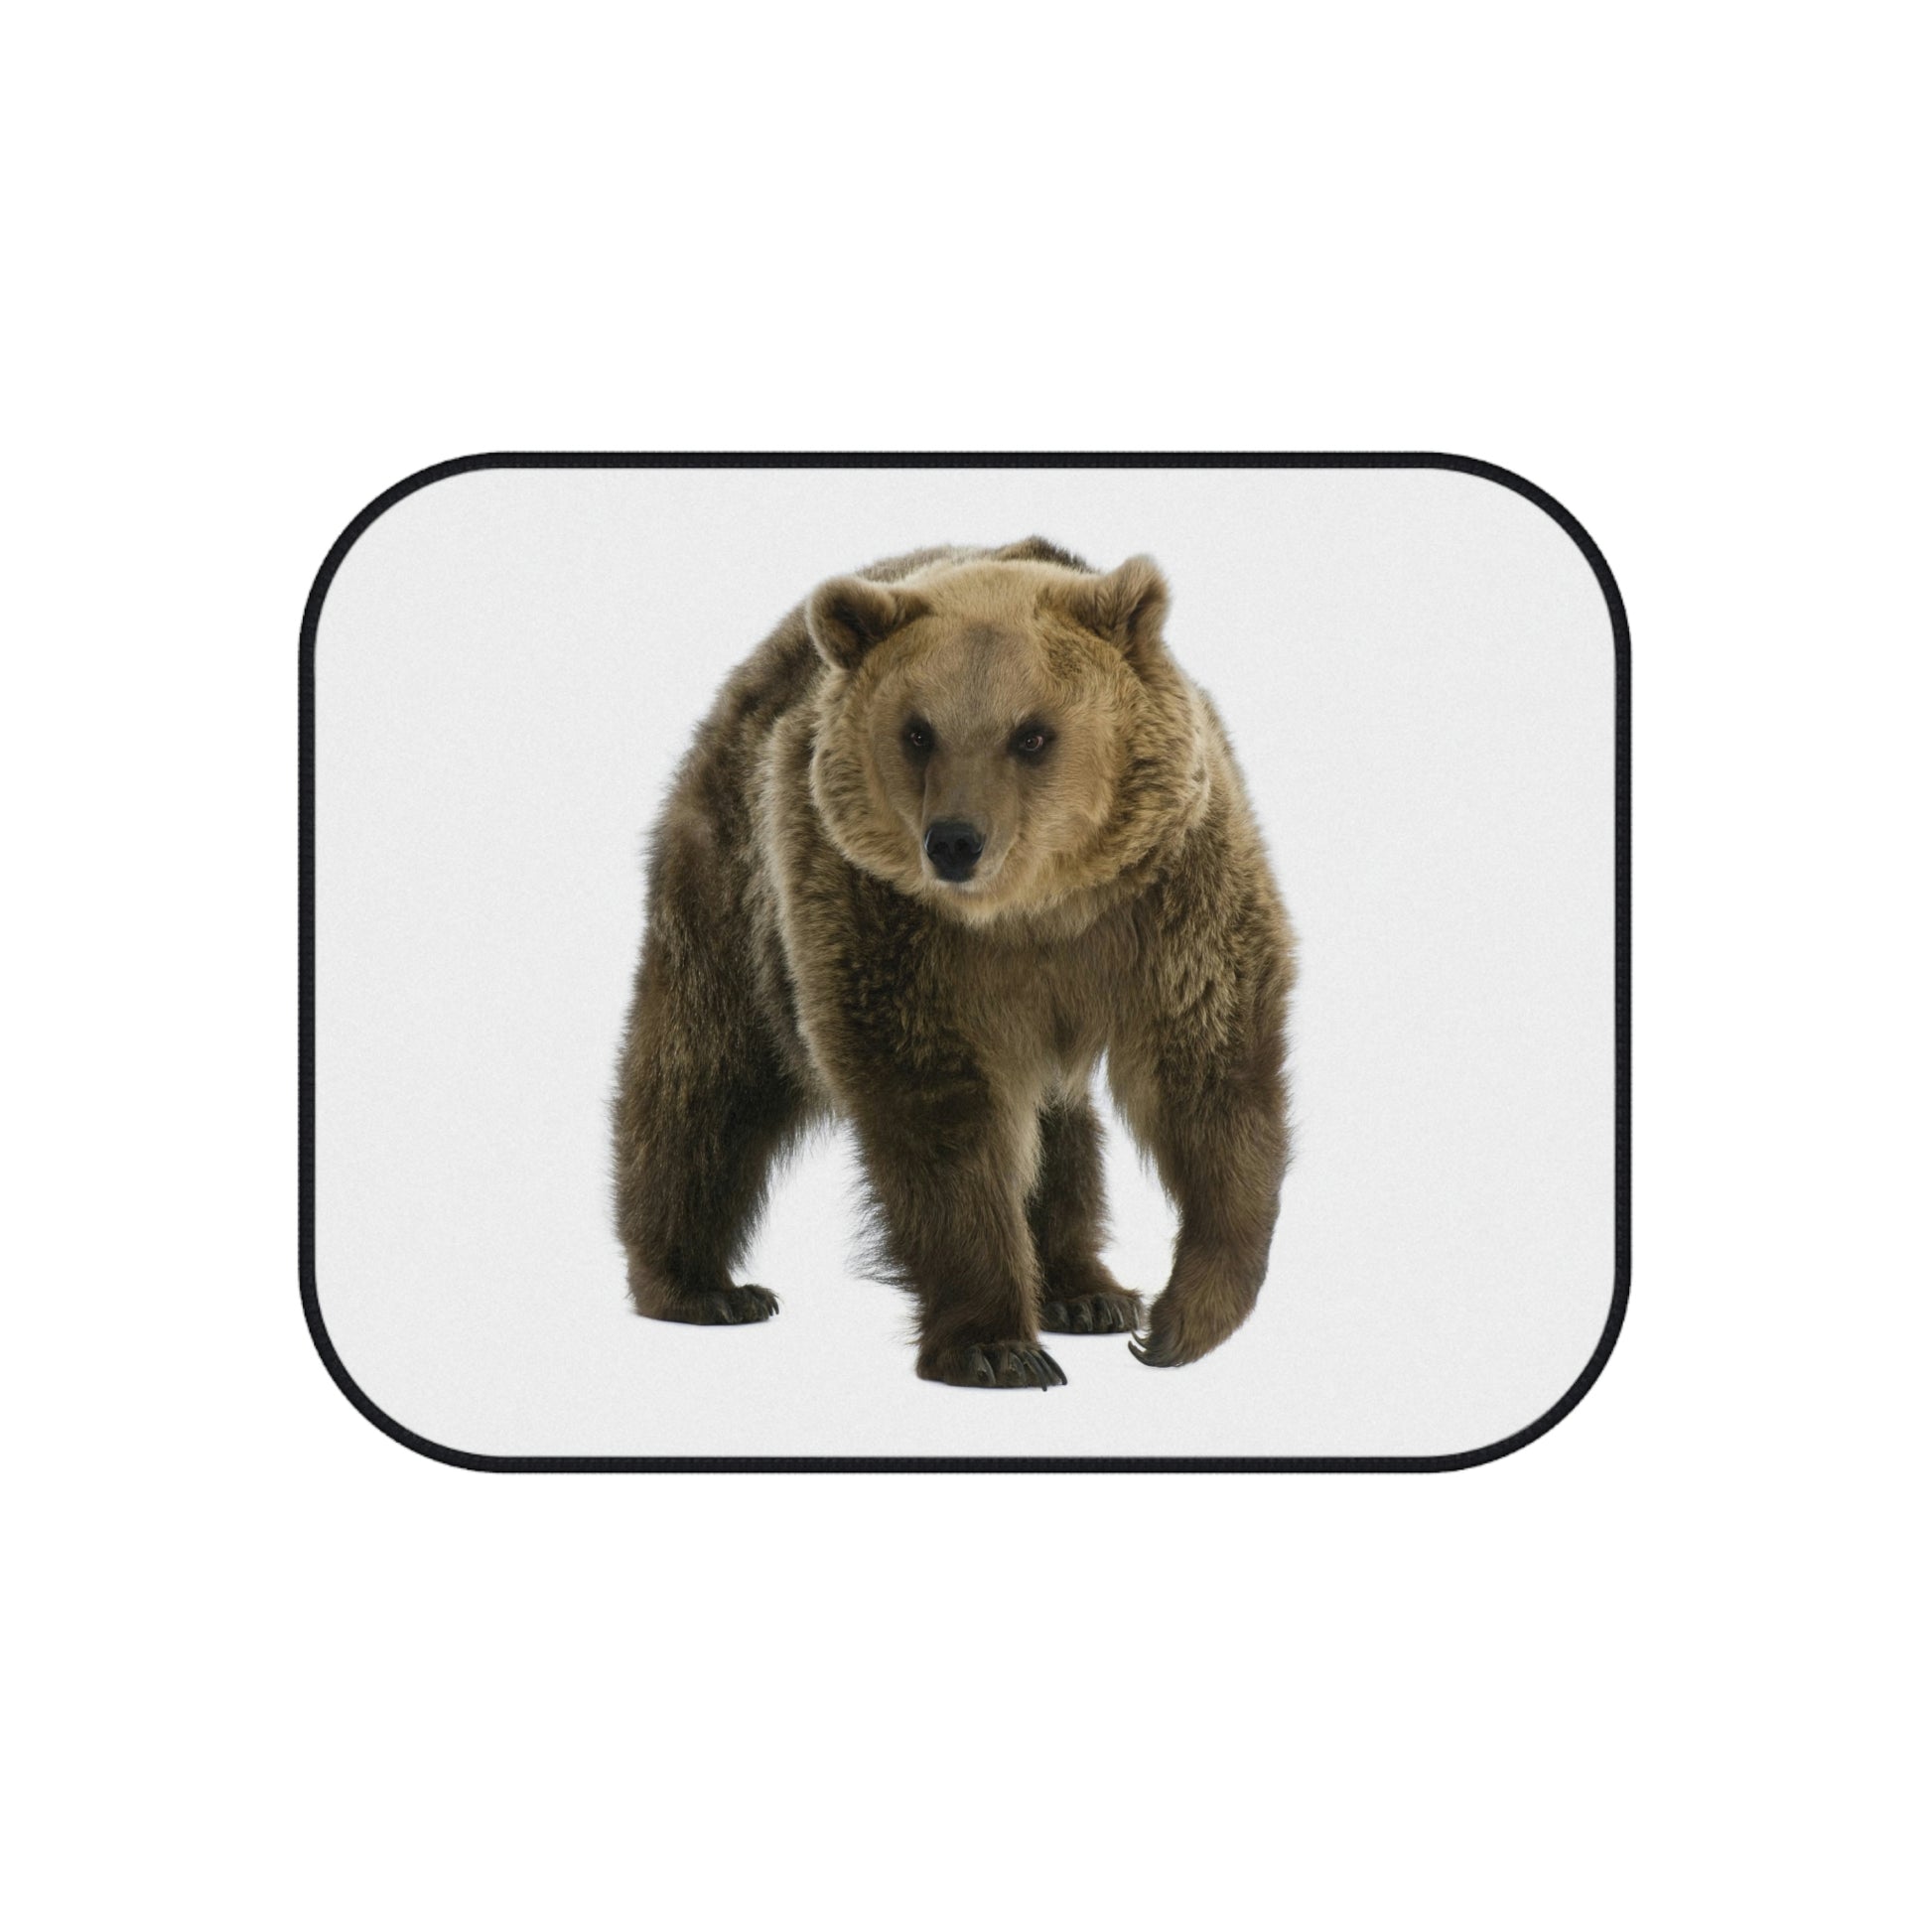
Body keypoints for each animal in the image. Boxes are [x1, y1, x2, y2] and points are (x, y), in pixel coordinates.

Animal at [611, 537, 1295, 1389]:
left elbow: (1209, 1075)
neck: (1034, 909)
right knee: (704, 1077)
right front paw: (996, 1345)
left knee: (1059, 1126)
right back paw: (700, 1286)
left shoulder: (1167, 897)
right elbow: (942, 1122)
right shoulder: (888, 925)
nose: (955, 841)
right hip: (735, 893)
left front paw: (1180, 1321)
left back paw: (1085, 1291)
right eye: (918, 732)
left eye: (1032, 734)